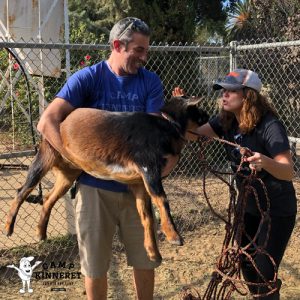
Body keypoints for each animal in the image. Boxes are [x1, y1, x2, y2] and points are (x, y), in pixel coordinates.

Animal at [5, 97, 209, 262]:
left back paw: (40, 232)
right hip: (45, 158)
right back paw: (8, 228)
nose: (209, 118)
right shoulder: (148, 168)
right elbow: (162, 200)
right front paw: (174, 236)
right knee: (22, 191)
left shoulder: (139, 183)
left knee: (48, 198)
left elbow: (147, 217)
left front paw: (153, 253)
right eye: (199, 113)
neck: (166, 124)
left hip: (68, 174)